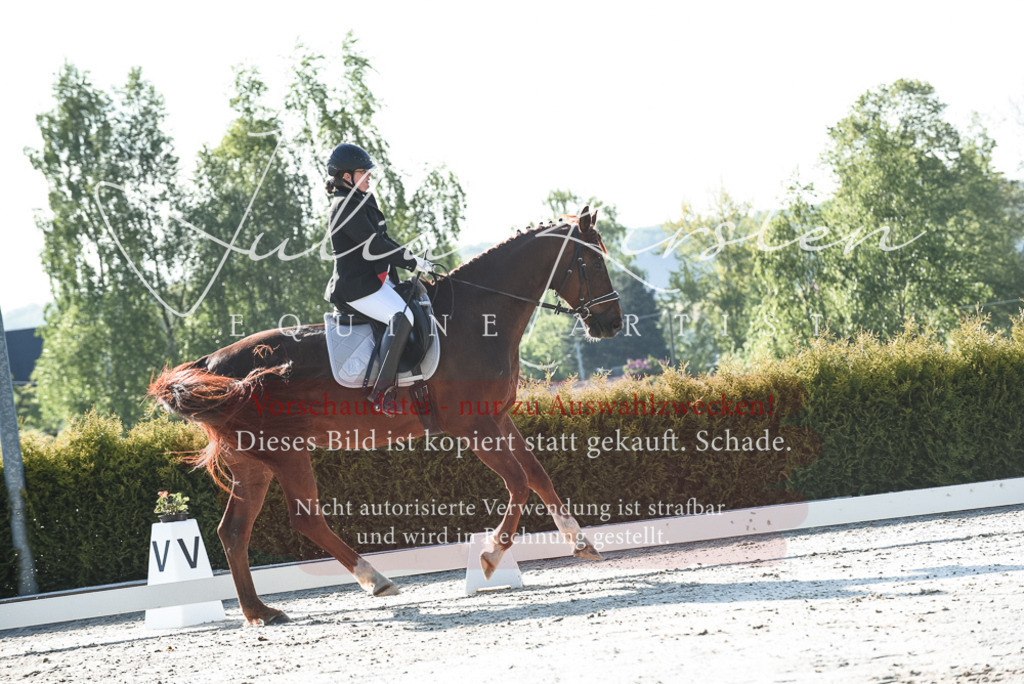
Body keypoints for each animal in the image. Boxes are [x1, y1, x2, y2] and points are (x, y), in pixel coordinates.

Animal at [149, 207, 623, 625]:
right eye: (594, 260)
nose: (613, 325)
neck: (478, 319)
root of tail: (212, 363)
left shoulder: (498, 419)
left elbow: (538, 475)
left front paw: (580, 541)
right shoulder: (473, 426)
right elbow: (520, 483)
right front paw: (489, 557)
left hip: (253, 463)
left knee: (233, 532)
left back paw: (260, 612)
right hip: (285, 452)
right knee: (304, 518)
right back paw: (374, 579)